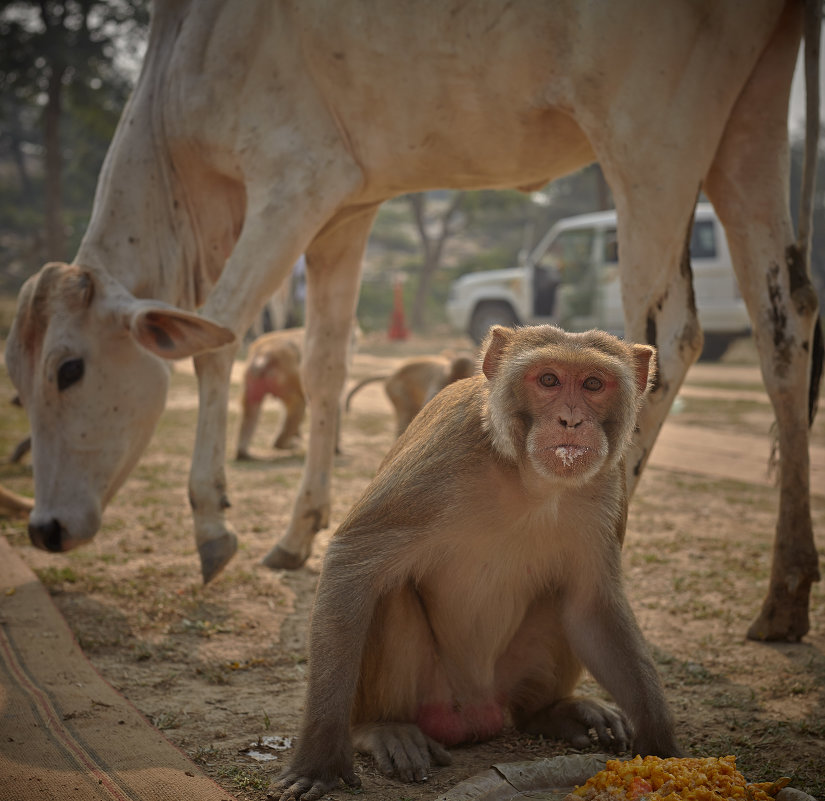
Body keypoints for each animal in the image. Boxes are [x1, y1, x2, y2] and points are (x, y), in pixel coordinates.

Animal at [4, 0, 816, 640]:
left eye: (69, 369)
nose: (44, 528)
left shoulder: (295, 178)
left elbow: (218, 337)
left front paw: (213, 523)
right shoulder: (345, 208)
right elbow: (325, 363)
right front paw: (297, 533)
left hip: (647, 136)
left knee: (667, 329)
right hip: (747, 121)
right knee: (786, 318)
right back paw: (784, 596)